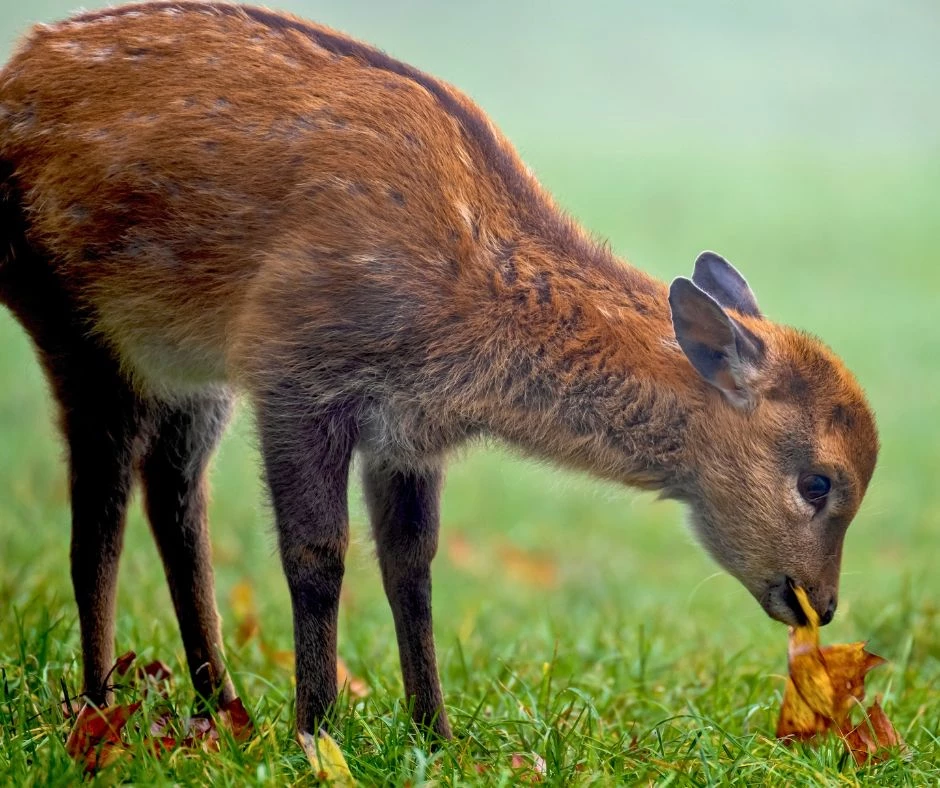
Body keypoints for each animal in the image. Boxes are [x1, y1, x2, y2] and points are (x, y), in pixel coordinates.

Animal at [1, 0, 880, 740]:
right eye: (819, 482)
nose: (821, 604)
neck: (462, 333)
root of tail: (15, 70)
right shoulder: (296, 368)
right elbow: (317, 553)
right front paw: (318, 732)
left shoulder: (407, 434)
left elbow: (411, 566)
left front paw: (435, 732)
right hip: (73, 319)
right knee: (100, 513)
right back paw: (100, 708)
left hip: (190, 369)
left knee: (176, 500)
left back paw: (222, 707)